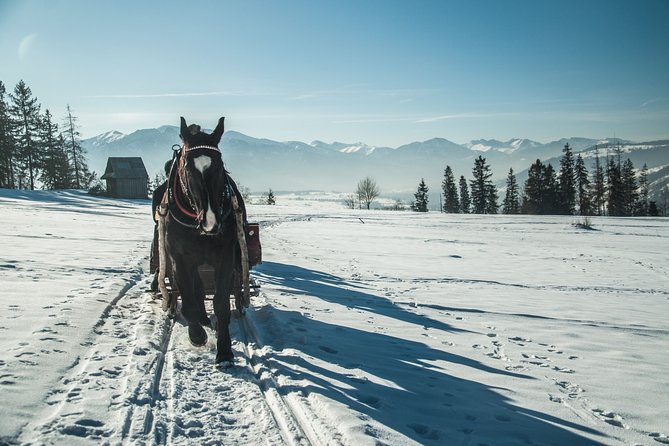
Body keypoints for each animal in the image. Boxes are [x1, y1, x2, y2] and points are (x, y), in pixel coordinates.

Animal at [164, 116, 240, 364]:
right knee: (195, 291)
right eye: (187, 168)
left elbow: (221, 303)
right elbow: (188, 301)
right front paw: (197, 335)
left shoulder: (225, 257)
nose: (211, 223)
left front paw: (224, 351)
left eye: (219, 164)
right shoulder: (180, 260)